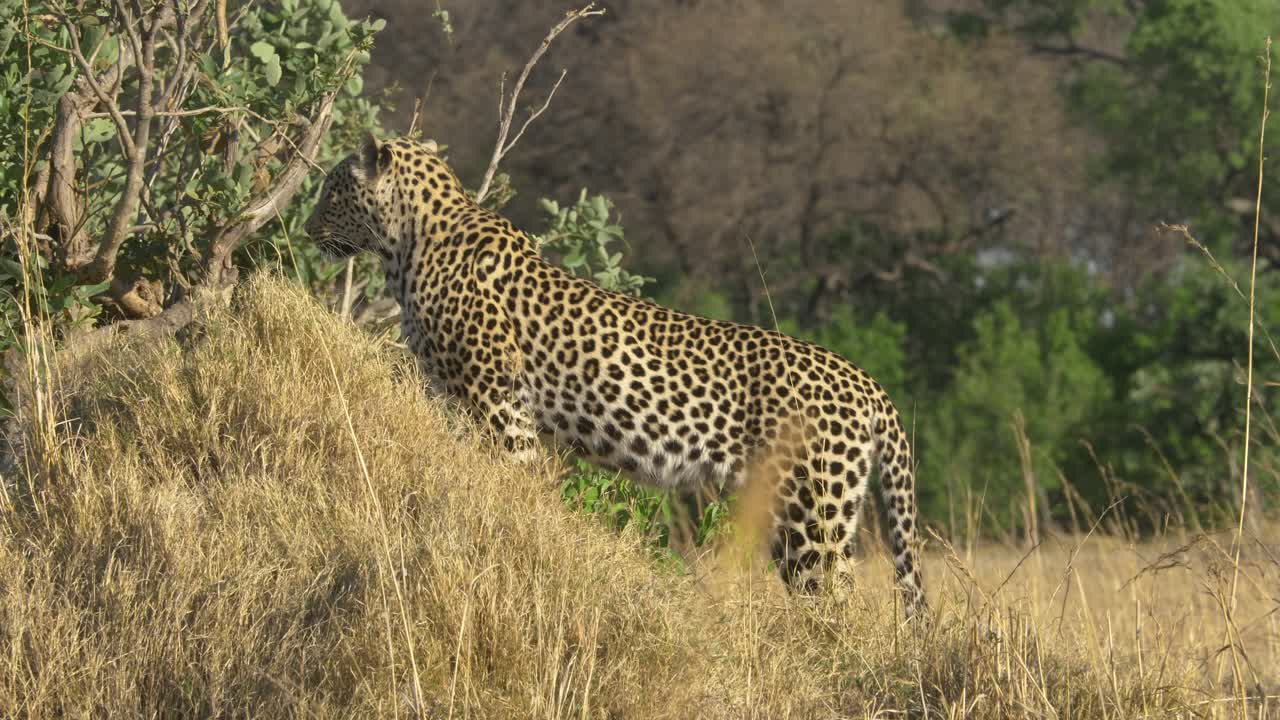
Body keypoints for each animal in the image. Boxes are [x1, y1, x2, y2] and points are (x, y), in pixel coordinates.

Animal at [304, 135, 927, 618]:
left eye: (332, 190)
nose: (308, 228)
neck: (408, 246)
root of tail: (867, 382)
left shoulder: (498, 403)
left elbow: (512, 484)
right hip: (824, 512)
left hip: (810, 513)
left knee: (837, 606)